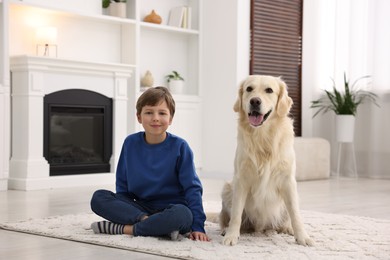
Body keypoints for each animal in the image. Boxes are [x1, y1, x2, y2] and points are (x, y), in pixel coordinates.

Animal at [219, 74, 314, 246]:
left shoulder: (288, 180)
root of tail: (261, 228)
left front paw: (302, 237)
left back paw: (288, 229)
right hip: (227, 189)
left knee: (287, 217)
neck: (263, 137)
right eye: (249, 89)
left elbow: (295, 214)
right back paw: (225, 230)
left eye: (269, 90)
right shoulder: (241, 179)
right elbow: (236, 214)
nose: (255, 101)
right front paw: (231, 235)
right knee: (226, 218)